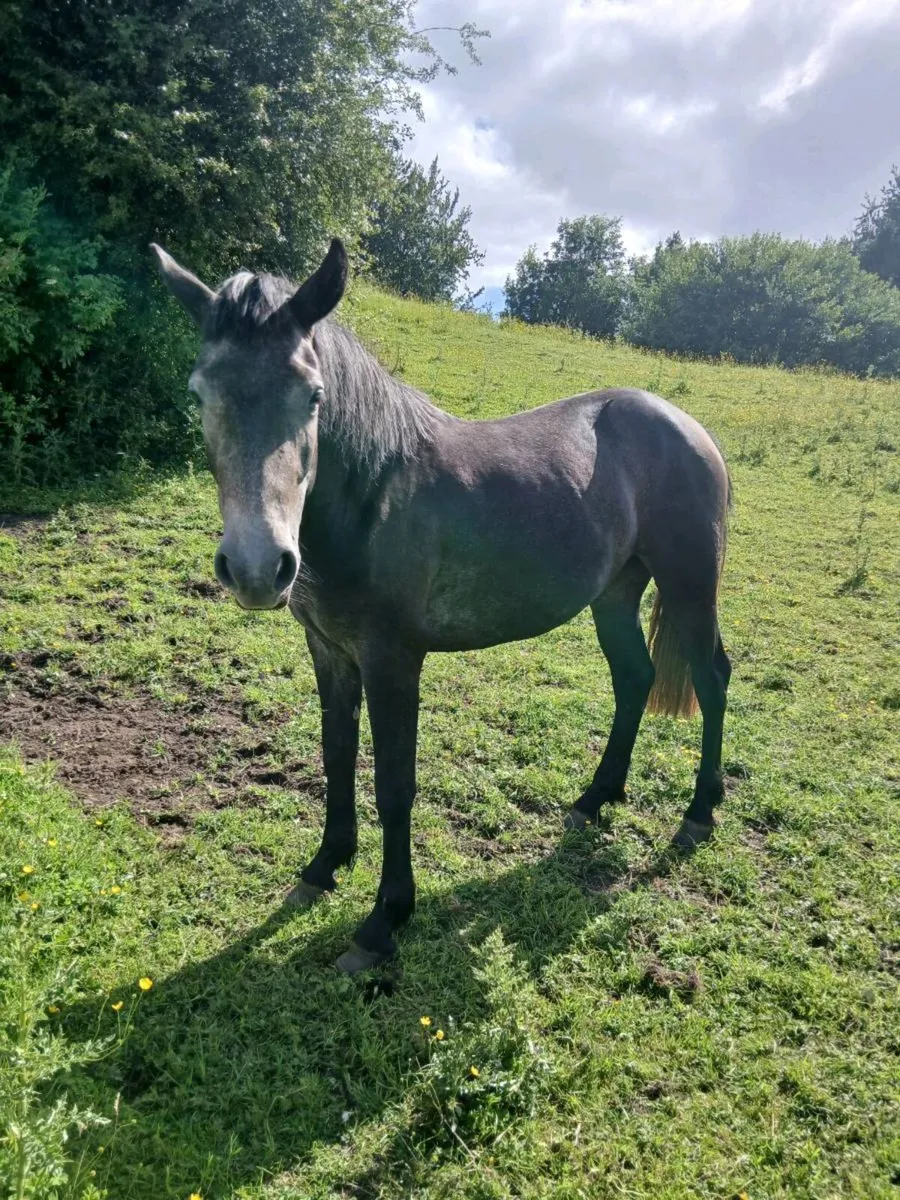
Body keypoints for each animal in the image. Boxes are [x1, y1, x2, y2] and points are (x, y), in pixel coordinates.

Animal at [151, 238, 732, 973]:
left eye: (313, 394)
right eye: (200, 392)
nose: (258, 567)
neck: (372, 497)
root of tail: (686, 424)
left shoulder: (393, 660)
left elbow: (395, 784)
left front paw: (383, 922)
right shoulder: (329, 650)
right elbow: (336, 756)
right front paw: (323, 867)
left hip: (689, 587)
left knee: (711, 681)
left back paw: (699, 813)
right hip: (615, 593)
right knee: (635, 679)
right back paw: (595, 799)